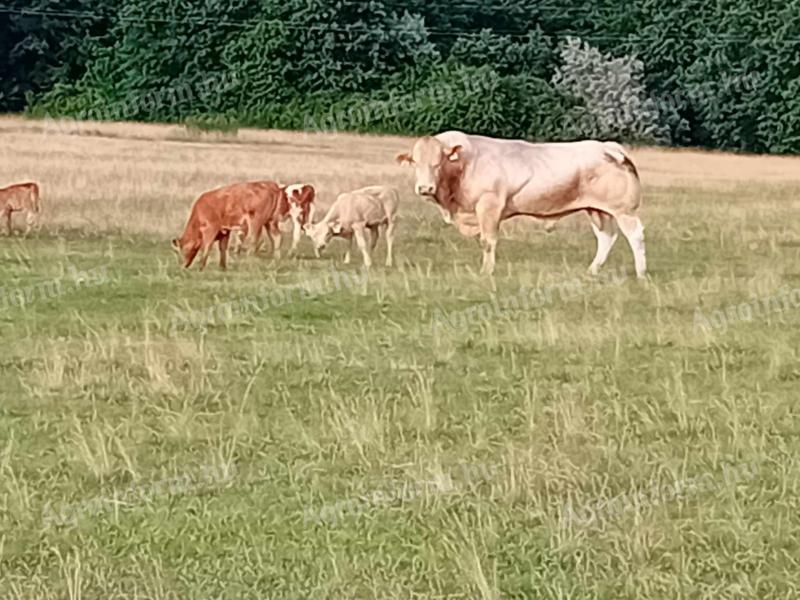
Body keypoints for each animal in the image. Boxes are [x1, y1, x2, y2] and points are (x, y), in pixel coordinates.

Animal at [396, 130, 648, 278]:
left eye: (438, 163)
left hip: (623, 211)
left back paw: (641, 272)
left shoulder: (489, 206)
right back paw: (593, 270)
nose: (425, 188)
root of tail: (609, 147)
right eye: (415, 162)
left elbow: (487, 241)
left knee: (635, 236)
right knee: (606, 237)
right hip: (597, 210)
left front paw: (486, 271)